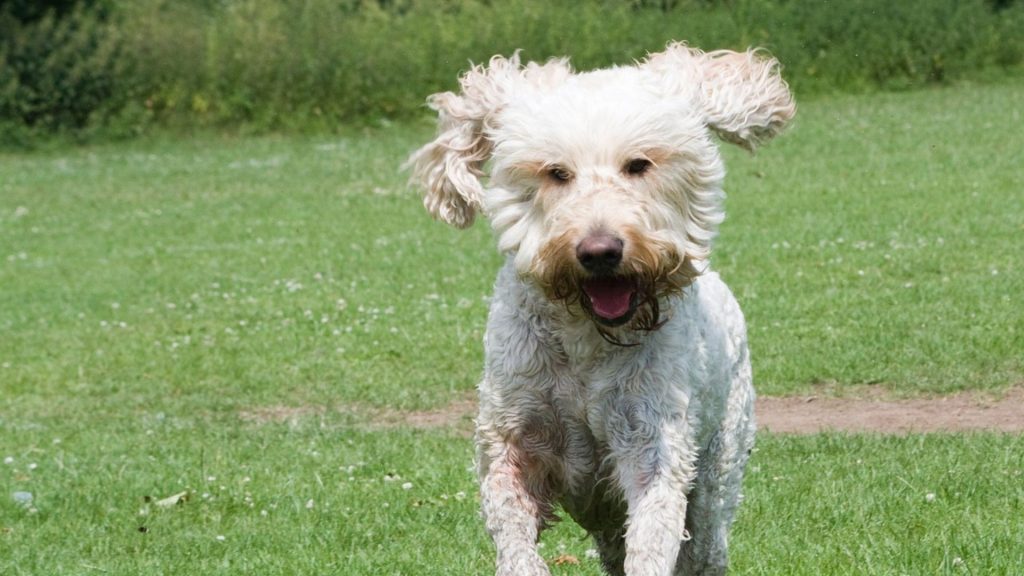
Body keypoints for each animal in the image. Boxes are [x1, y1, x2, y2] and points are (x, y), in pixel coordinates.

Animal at [403, 43, 794, 573]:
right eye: (556, 172)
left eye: (638, 165)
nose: (600, 251)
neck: (586, 340)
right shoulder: (512, 439)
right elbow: (513, 531)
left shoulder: (652, 441)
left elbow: (653, 536)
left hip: (718, 470)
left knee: (705, 543)